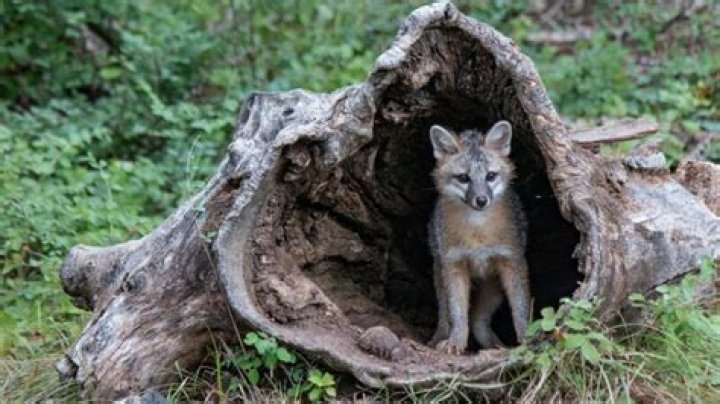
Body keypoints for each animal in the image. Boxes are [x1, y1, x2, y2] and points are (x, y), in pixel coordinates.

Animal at [427, 120, 530, 354]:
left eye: (490, 176)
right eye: (464, 178)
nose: (481, 200)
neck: (478, 231)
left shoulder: (512, 262)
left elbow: (520, 309)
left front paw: (527, 338)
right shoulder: (454, 265)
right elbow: (458, 314)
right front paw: (455, 342)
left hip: (493, 287)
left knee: (478, 320)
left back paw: (496, 347)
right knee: (448, 317)